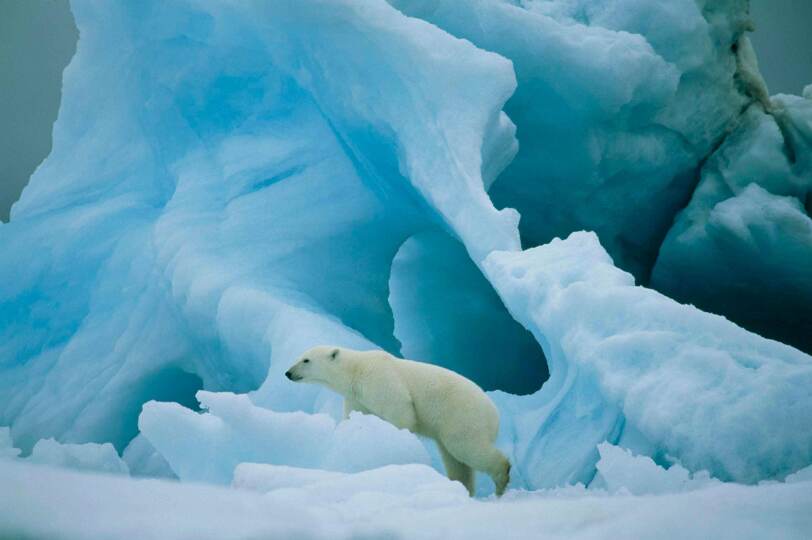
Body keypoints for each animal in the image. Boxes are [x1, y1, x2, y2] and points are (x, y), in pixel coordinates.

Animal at [286, 346, 510, 498]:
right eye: (298, 357)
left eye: (306, 360)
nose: (288, 373)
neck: (356, 370)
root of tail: (495, 414)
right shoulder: (357, 396)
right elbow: (356, 414)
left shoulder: (379, 378)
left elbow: (400, 407)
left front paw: (397, 441)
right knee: (455, 461)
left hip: (462, 416)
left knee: (467, 449)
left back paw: (501, 480)